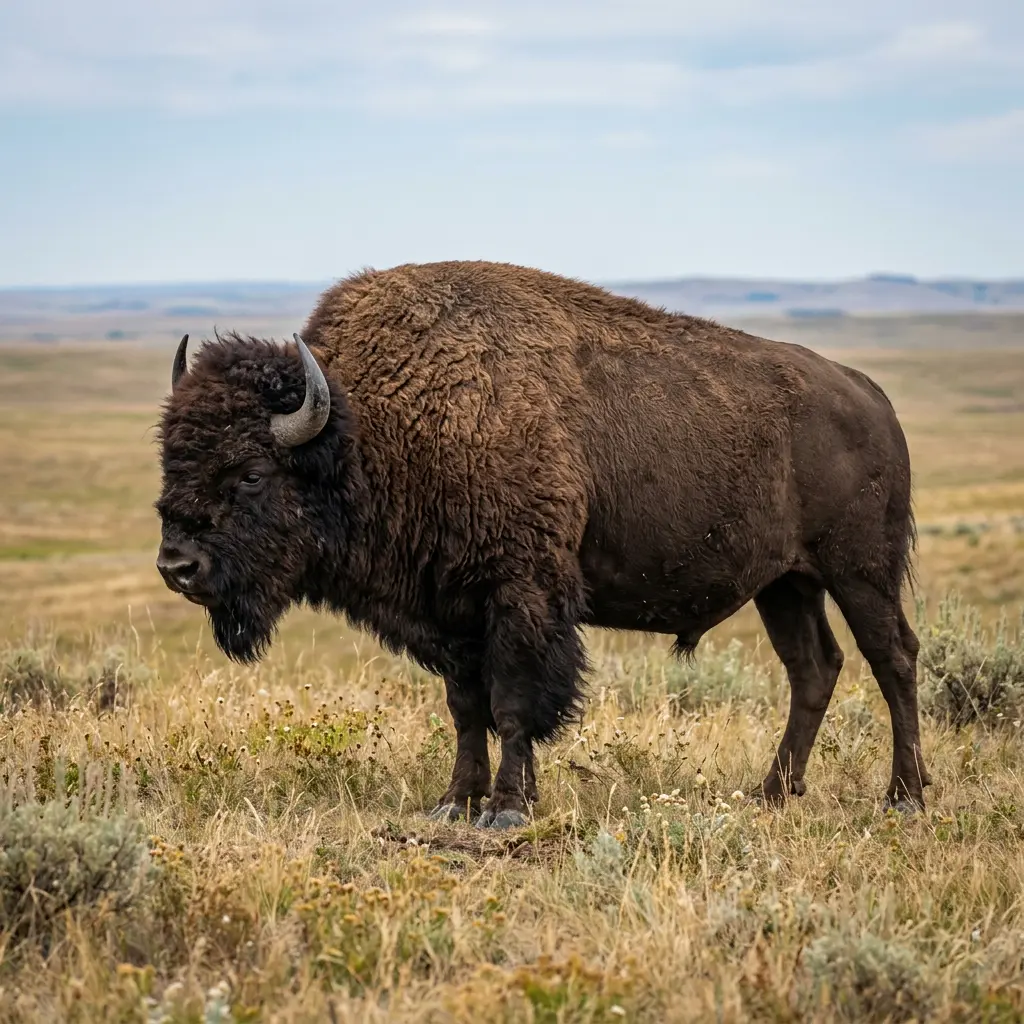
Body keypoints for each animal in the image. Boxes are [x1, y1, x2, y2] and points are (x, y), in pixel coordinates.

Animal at [155, 260, 931, 828]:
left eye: (251, 472)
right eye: (170, 458)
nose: (176, 565)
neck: (370, 429)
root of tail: (869, 395)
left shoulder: (520, 598)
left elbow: (513, 704)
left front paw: (505, 809)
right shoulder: (452, 613)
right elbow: (466, 708)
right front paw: (454, 802)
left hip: (860, 571)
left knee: (892, 658)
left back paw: (904, 797)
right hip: (785, 584)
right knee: (814, 668)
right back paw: (772, 792)